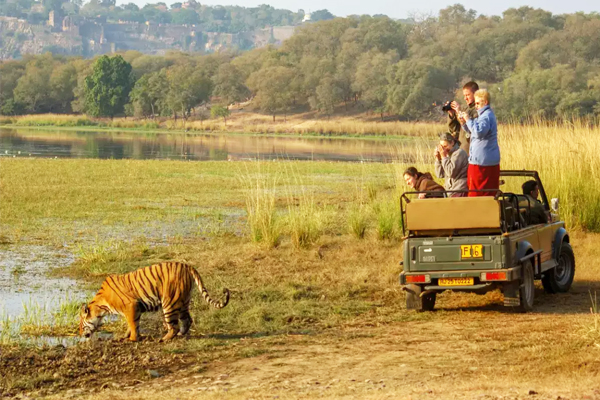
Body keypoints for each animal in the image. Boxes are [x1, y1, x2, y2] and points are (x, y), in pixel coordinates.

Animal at [79, 260, 230, 342]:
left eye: (80, 324)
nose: (80, 334)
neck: (101, 306)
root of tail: (188, 266)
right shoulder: (135, 309)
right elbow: (132, 324)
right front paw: (126, 336)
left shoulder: (131, 306)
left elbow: (132, 324)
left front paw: (132, 339)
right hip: (183, 301)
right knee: (187, 320)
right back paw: (180, 334)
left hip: (169, 303)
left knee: (174, 326)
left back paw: (164, 339)